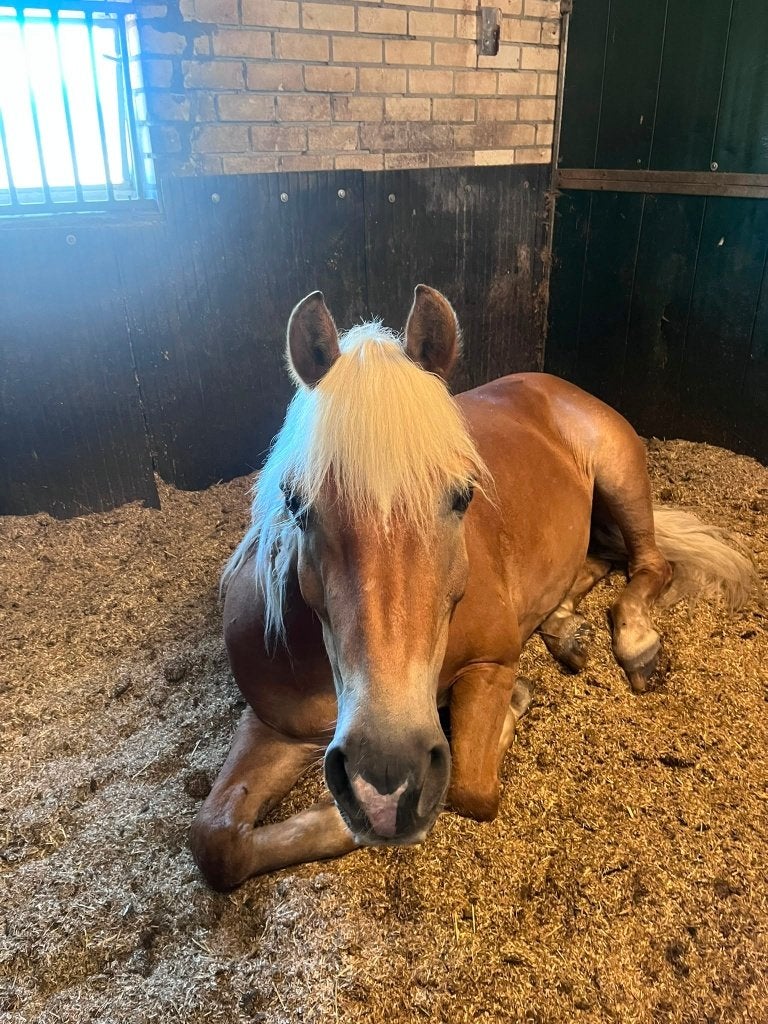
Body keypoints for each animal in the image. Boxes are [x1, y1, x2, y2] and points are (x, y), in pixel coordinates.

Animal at [190, 285, 758, 890]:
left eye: (463, 495)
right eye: (295, 502)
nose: (386, 766)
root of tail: (553, 383)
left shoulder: (491, 664)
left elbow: (471, 787)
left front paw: (516, 702)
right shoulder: (276, 725)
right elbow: (216, 841)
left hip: (621, 476)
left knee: (649, 565)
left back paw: (636, 644)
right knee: (600, 559)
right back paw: (566, 628)